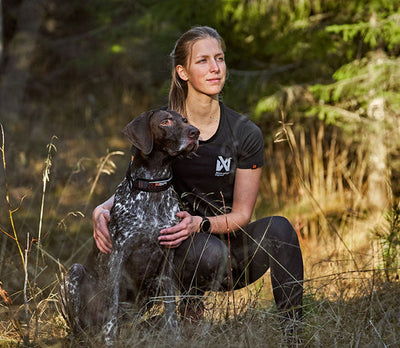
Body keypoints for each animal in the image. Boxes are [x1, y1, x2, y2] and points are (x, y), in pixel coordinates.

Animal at [59, 110, 200, 344]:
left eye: (185, 121)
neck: (153, 188)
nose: (196, 132)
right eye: (165, 122)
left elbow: (171, 307)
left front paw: (174, 336)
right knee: (81, 325)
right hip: (75, 273)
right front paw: (110, 340)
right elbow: (112, 305)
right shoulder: (117, 257)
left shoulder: (167, 259)